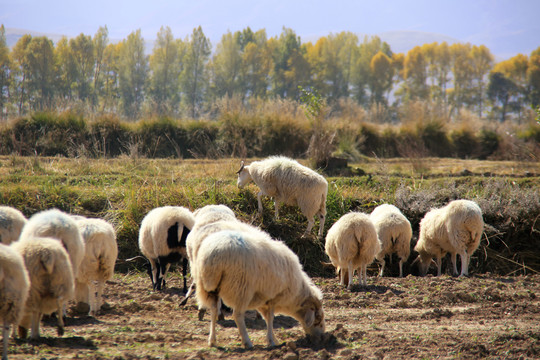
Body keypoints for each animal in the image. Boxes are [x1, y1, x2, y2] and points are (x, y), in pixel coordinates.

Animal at [195, 228, 324, 348]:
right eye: (317, 319)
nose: (322, 338)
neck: (296, 295)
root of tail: (213, 254)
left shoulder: (262, 299)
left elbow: (266, 318)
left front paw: (274, 339)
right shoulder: (273, 298)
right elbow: (270, 318)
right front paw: (271, 341)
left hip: (209, 288)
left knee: (213, 311)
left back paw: (212, 341)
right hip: (241, 289)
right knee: (238, 315)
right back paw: (247, 342)